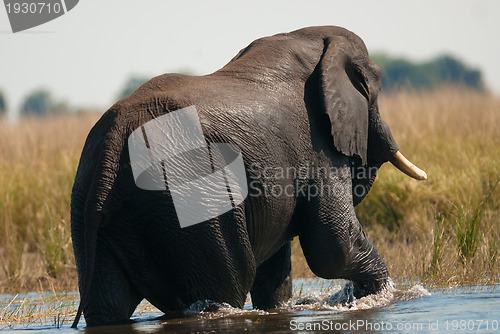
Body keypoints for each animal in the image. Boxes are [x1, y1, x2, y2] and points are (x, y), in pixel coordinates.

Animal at [71, 25, 426, 326]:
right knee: (222, 288)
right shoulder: (317, 149)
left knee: (107, 304)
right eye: (375, 87)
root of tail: (113, 142)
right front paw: (382, 297)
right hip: (190, 203)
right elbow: (332, 246)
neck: (310, 40)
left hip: (89, 204)